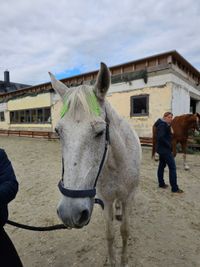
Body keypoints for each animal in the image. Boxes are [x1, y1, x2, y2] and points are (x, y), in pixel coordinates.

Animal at [49, 63, 141, 267]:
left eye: (100, 132)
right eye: (58, 132)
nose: (70, 213)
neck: (116, 165)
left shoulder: (129, 197)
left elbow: (125, 231)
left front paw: (124, 260)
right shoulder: (105, 200)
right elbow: (110, 233)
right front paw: (112, 260)